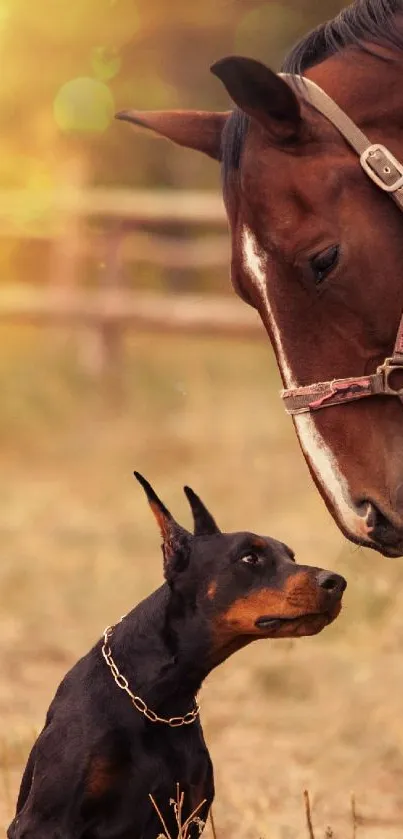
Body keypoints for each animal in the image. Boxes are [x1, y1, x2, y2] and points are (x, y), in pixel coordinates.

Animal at [7, 472, 346, 839]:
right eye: (249, 558)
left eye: (290, 556)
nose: (337, 582)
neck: (157, 697)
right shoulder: (44, 822)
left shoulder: (187, 815)